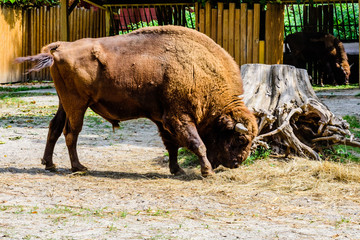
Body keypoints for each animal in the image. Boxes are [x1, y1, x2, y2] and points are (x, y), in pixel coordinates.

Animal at [15, 25, 258, 177]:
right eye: (240, 139)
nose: (237, 163)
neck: (199, 70)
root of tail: (59, 49)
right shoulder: (178, 117)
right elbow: (196, 143)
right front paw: (206, 172)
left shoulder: (163, 119)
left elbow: (172, 145)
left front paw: (177, 170)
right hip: (77, 105)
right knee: (71, 132)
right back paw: (79, 167)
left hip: (64, 103)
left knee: (55, 127)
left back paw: (50, 164)